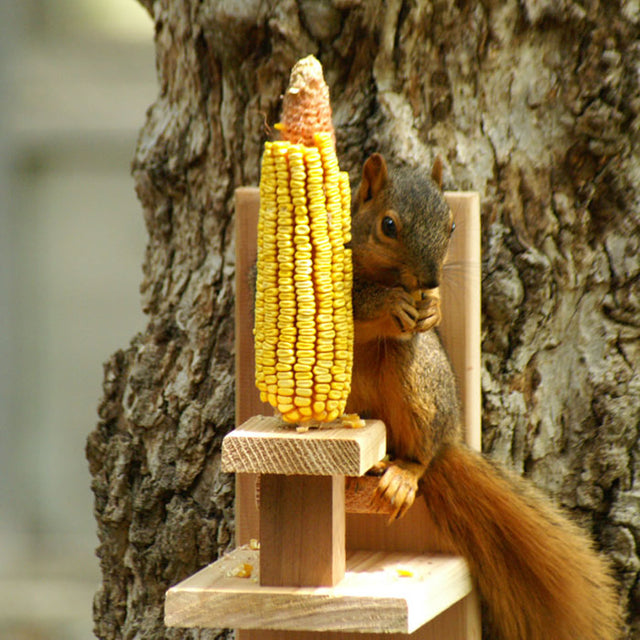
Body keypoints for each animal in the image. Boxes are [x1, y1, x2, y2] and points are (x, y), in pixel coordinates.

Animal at [344, 154, 620, 640]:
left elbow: (422, 310)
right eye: (388, 225)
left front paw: (431, 307)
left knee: (420, 454)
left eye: (452, 225)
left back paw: (403, 473)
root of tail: (451, 439)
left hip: (419, 380)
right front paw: (389, 302)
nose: (430, 279)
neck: (390, 276)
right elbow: (358, 300)